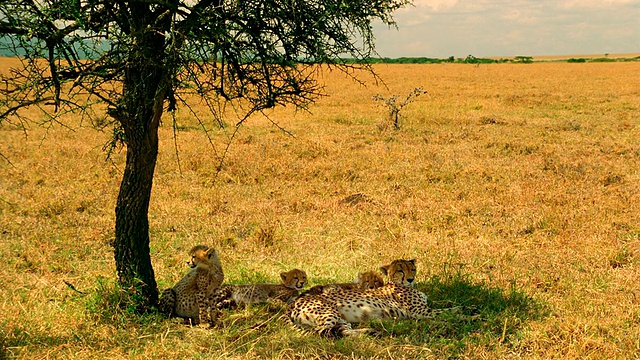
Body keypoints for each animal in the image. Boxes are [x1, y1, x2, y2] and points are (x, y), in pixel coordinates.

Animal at [288, 284, 430, 338]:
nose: (410, 279)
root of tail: (293, 303)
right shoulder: (422, 311)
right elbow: (436, 314)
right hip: (330, 312)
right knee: (321, 332)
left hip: (340, 319)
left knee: (344, 331)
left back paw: (372, 332)